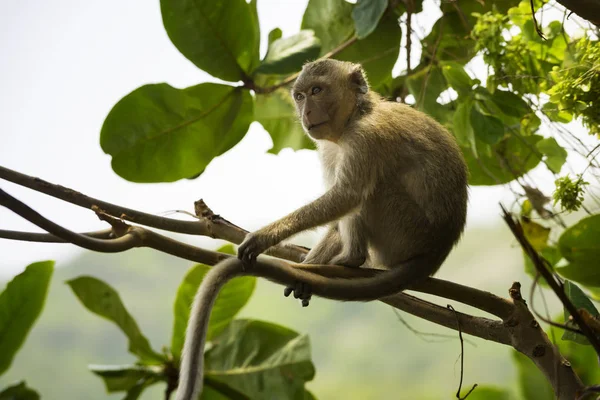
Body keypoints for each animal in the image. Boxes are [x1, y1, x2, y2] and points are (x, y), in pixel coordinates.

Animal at [176, 59, 472, 400]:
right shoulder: (331, 149)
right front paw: (307, 270)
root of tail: (437, 250)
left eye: (317, 90)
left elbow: (346, 197)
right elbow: (334, 215)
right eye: (300, 95)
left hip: (403, 229)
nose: (305, 111)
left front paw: (263, 237)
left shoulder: (365, 138)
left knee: (367, 192)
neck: (358, 114)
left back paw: (352, 259)